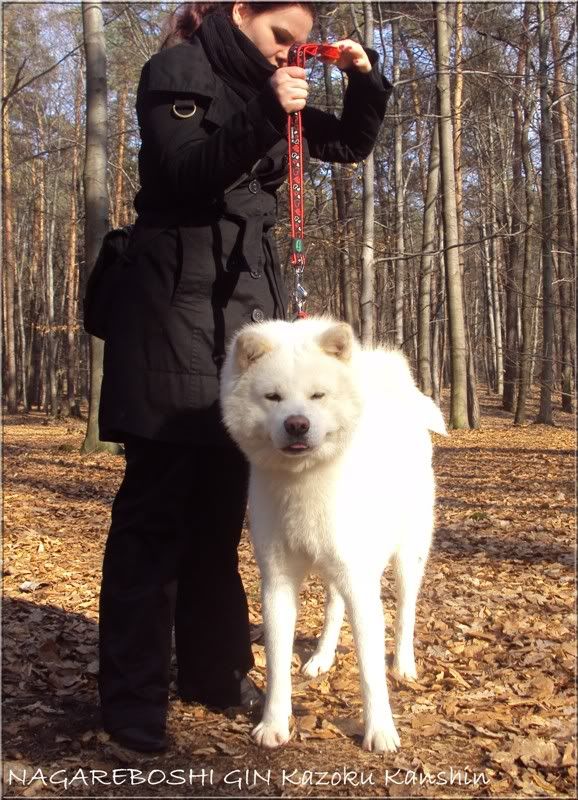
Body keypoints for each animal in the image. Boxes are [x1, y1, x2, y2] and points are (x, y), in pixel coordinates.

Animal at [220, 317, 447, 752]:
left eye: (317, 396)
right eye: (273, 397)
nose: (297, 423)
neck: (305, 482)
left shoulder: (361, 582)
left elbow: (370, 670)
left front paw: (380, 731)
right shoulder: (277, 581)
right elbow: (277, 662)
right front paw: (274, 723)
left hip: (407, 556)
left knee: (406, 611)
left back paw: (403, 664)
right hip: (335, 569)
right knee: (333, 608)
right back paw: (322, 657)